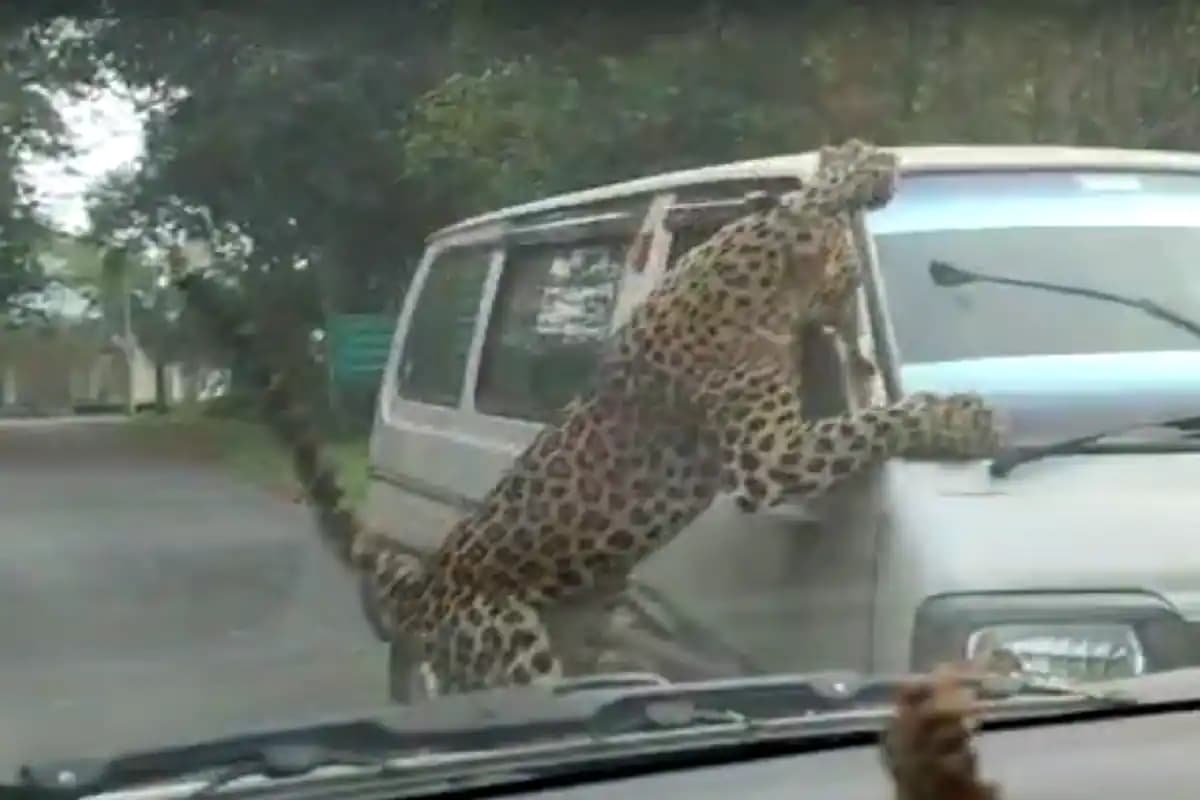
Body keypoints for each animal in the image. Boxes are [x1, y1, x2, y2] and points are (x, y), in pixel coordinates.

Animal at [171, 138, 1003, 700]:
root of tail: (425, 583)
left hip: (574, 633)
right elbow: (873, 420)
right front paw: (962, 416)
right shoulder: (768, 458)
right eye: (851, 274)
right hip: (509, 642)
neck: (759, 273)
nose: (847, 299)